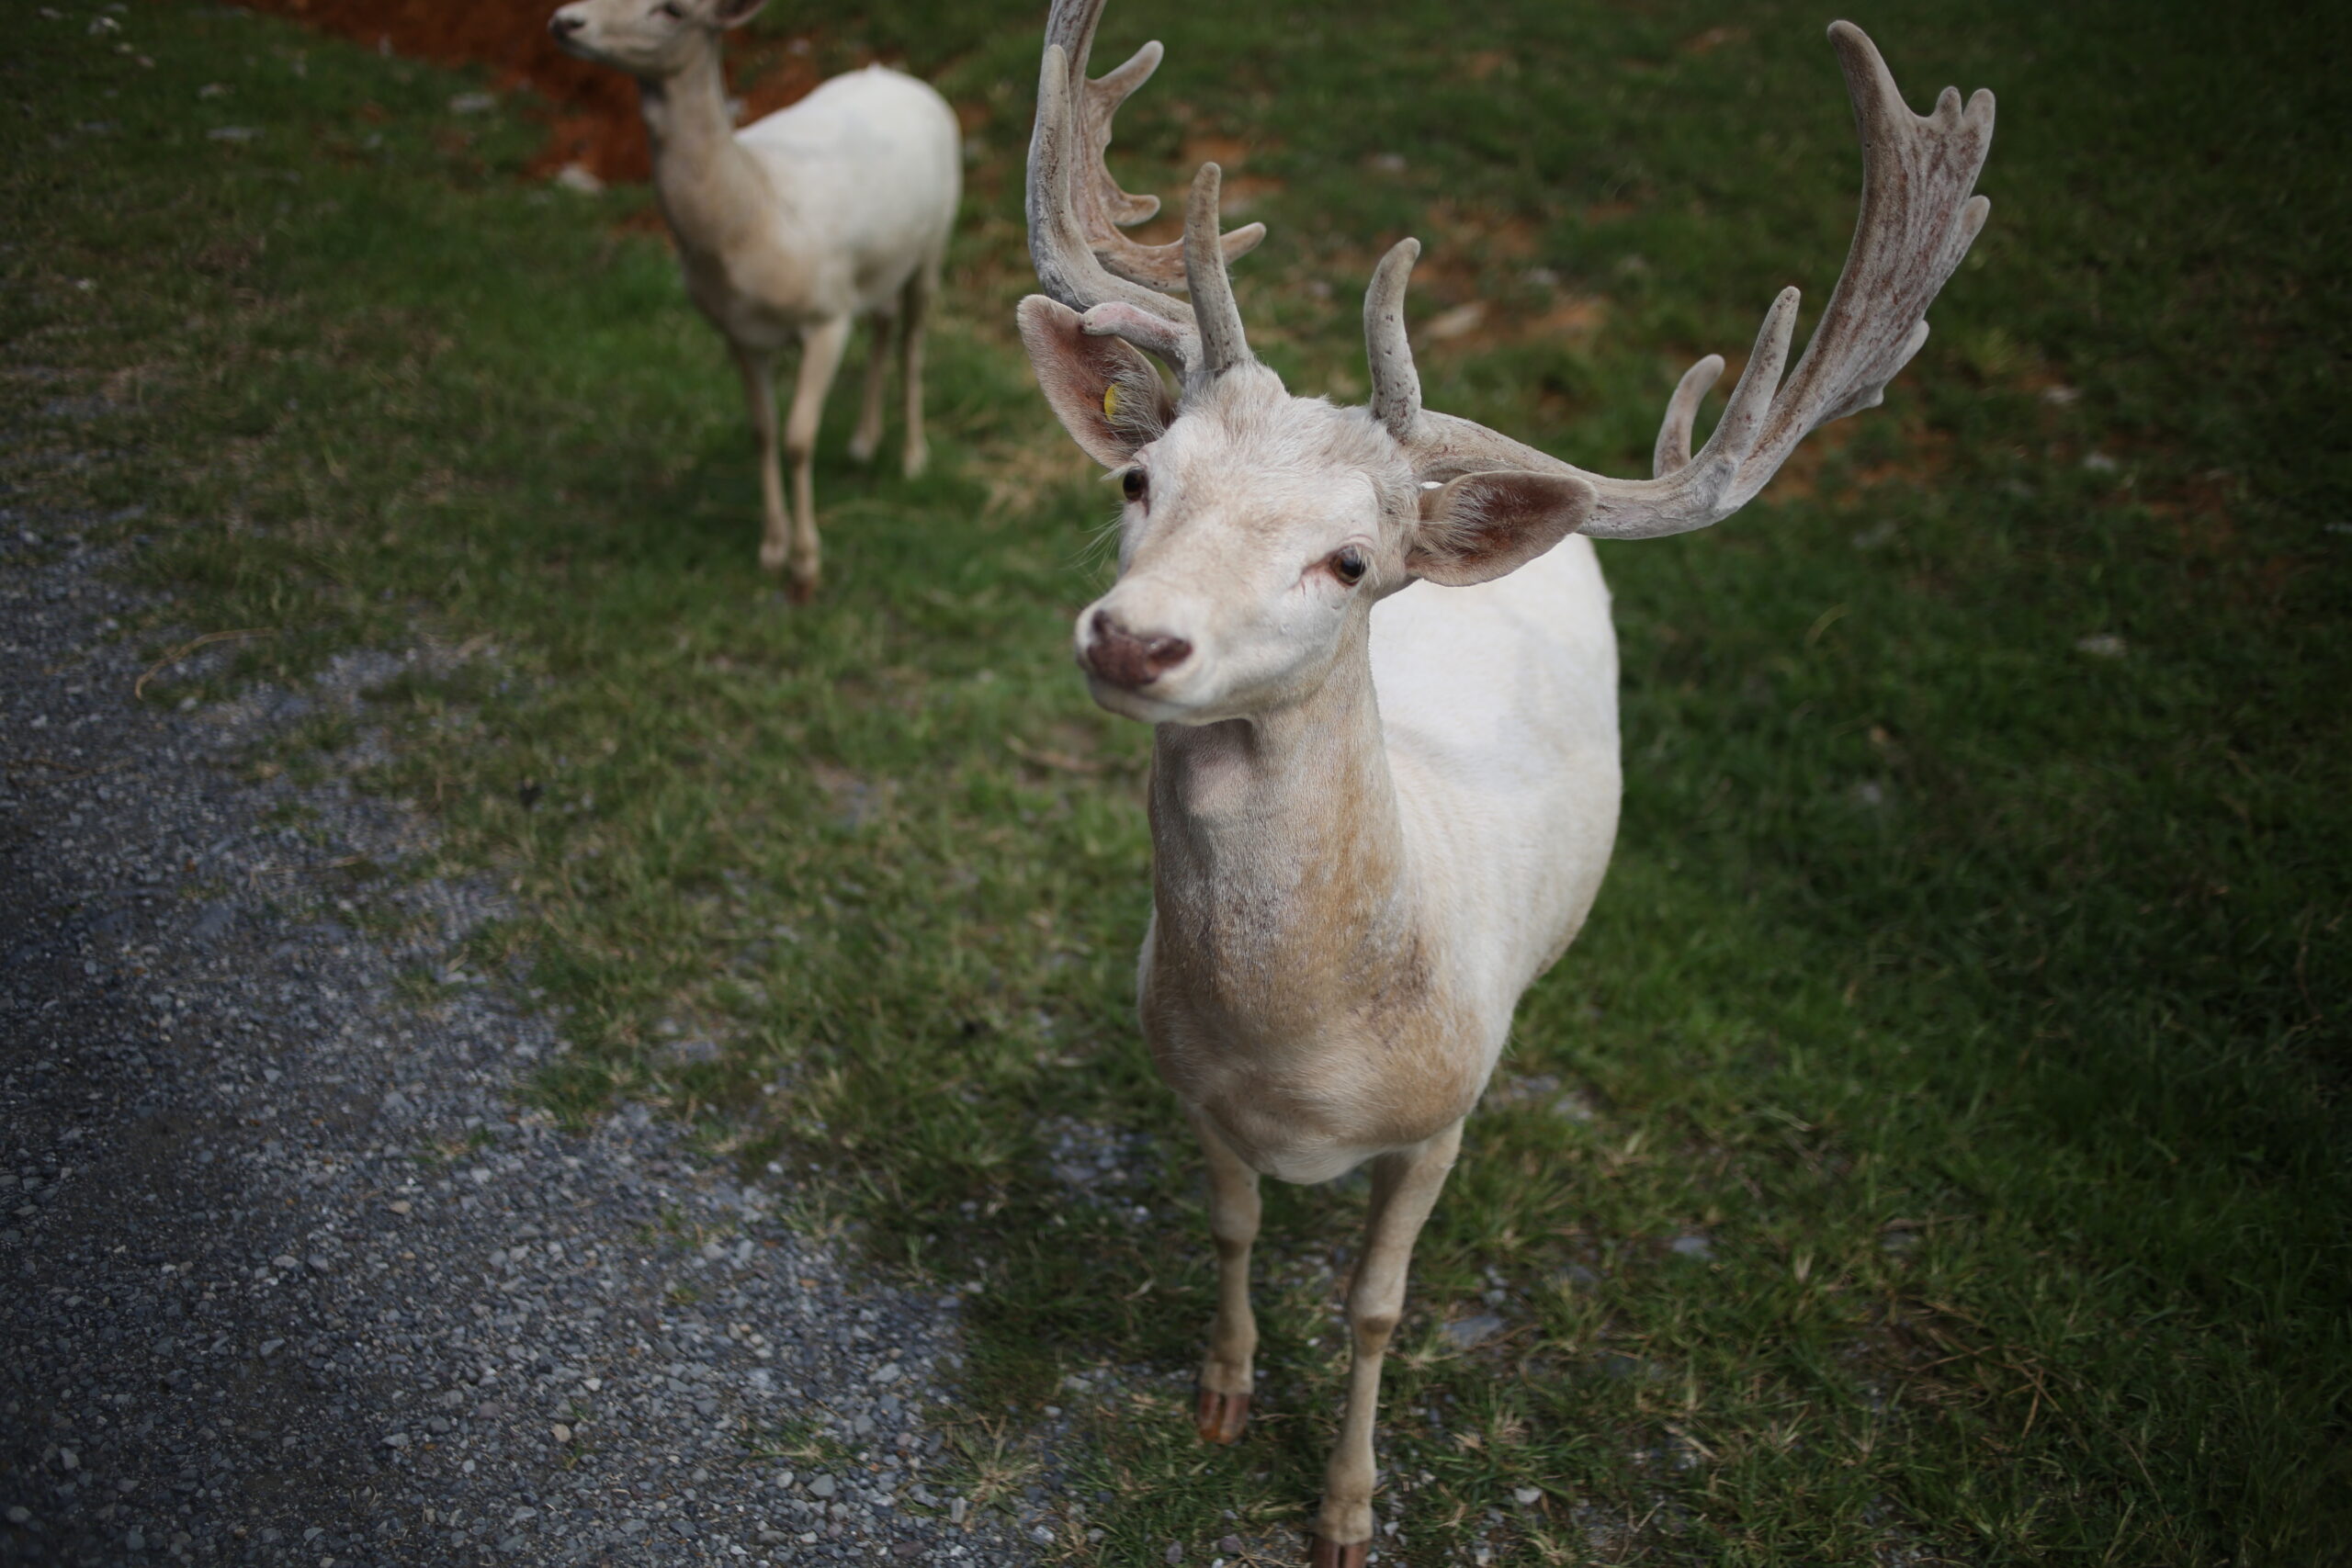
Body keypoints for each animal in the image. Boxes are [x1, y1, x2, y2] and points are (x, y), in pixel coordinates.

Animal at [1021, 6, 1994, 1561]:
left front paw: (1347, 1506)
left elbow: (1375, 1306)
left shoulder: (1442, 1113)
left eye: (1352, 559)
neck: (1302, 1060)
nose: (1134, 636)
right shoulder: (1190, 1085)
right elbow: (1232, 1228)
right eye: (1137, 481)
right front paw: (1222, 1393)